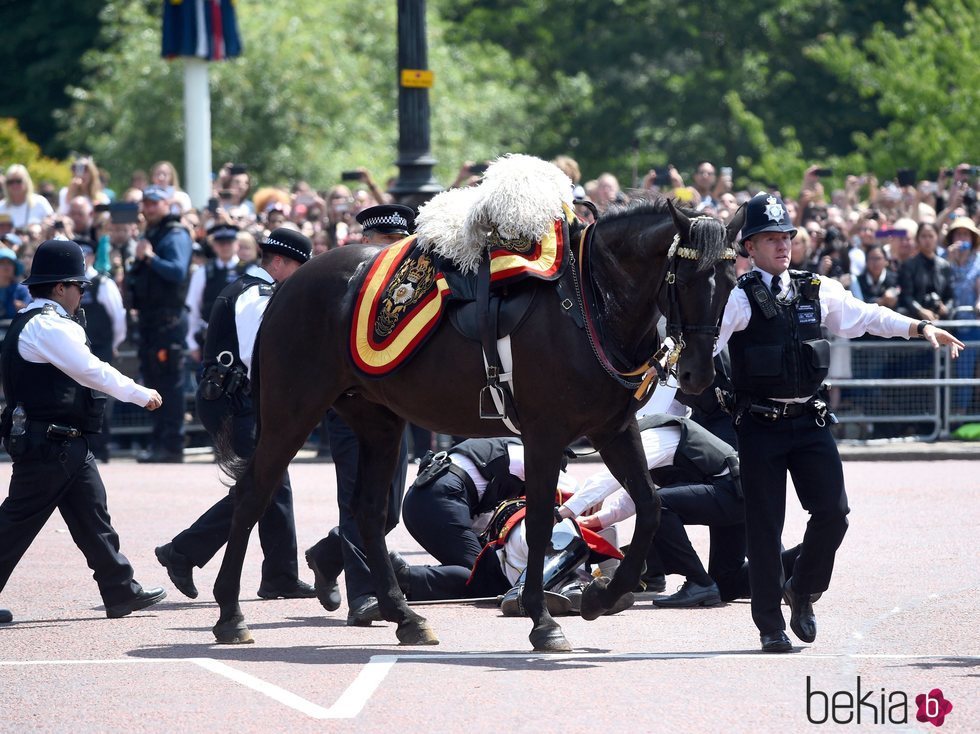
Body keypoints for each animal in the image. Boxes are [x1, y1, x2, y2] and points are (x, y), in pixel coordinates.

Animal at [211, 198, 740, 652]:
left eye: (730, 281)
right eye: (685, 280)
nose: (697, 374)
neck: (588, 302)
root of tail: (288, 286)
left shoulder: (614, 428)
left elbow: (649, 505)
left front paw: (601, 597)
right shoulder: (545, 433)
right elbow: (543, 520)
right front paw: (542, 620)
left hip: (378, 423)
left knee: (366, 512)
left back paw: (403, 615)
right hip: (291, 412)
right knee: (252, 496)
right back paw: (230, 615)